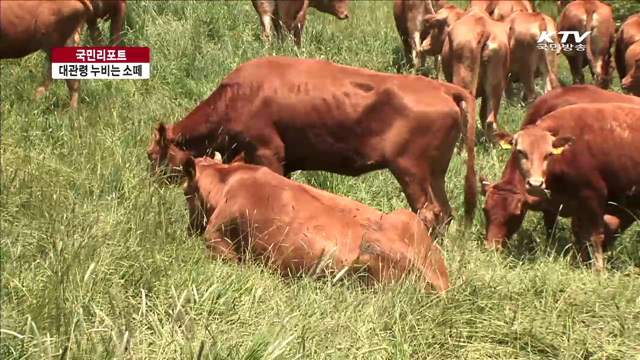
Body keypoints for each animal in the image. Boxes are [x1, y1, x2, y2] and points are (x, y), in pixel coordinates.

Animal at [149, 56, 480, 231]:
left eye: (151, 154)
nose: (149, 185)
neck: (238, 95)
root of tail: (441, 87)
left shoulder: (267, 151)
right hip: (434, 174)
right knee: (445, 214)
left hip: (410, 171)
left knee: (429, 214)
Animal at [492, 104, 636, 272]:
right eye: (520, 151)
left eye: (548, 154)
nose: (535, 184)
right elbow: (581, 234)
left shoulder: (593, 196)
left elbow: (596, 236)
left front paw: (598, 270)